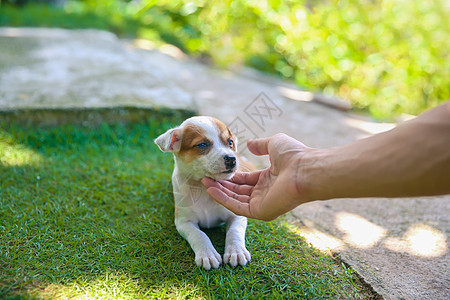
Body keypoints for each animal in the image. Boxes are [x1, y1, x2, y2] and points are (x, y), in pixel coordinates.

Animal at [156, 115, 251, 270]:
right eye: (202, 145)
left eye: (230, 142)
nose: (232, 159)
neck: (202, 188)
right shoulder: (184, 222)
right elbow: (199, 235)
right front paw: (208, 254)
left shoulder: (237, 216)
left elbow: (234, 232)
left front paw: (236, 252)